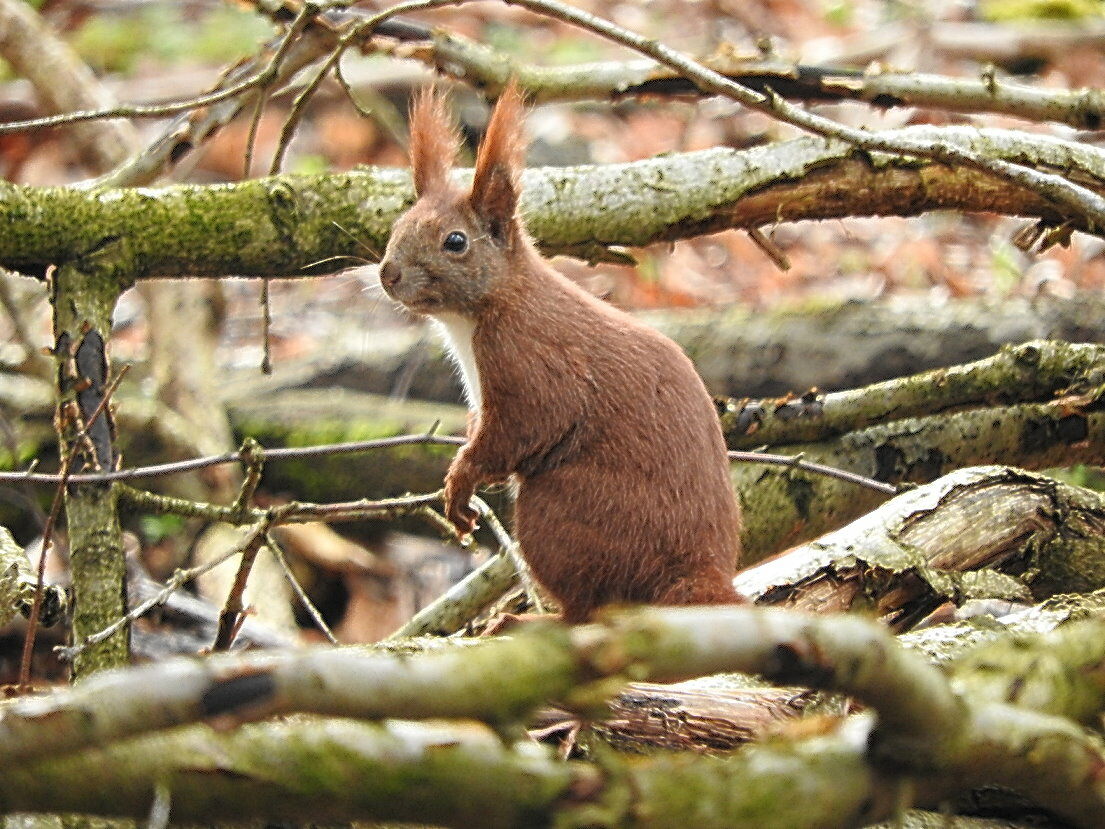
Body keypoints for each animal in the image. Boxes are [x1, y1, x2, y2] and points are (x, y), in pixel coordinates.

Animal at [379, 82, 744, 622]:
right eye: (397, 225)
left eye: (456, 242)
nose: (388, 273)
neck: (480, 315)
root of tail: (697, 570)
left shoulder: (532, 362)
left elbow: (523, 427)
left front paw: (460, 479)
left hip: (559, 513)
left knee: (588, 607)